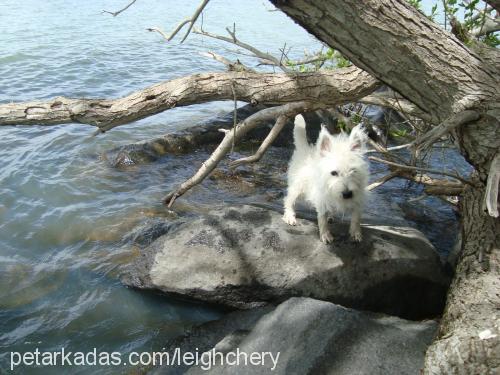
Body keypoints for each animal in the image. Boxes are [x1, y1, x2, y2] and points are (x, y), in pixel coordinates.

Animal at [284, 114, 370, 244]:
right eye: (334, 173)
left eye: (353, 171)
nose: (347, 194)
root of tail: (305, 150)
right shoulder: (321, 198)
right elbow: (322, 218)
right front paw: (325, 235)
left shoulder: (358, 197)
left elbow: (356, 217)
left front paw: (356, 234)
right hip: (297, 187)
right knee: (288, 200)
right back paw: (289, 216)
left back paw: (331, 216)